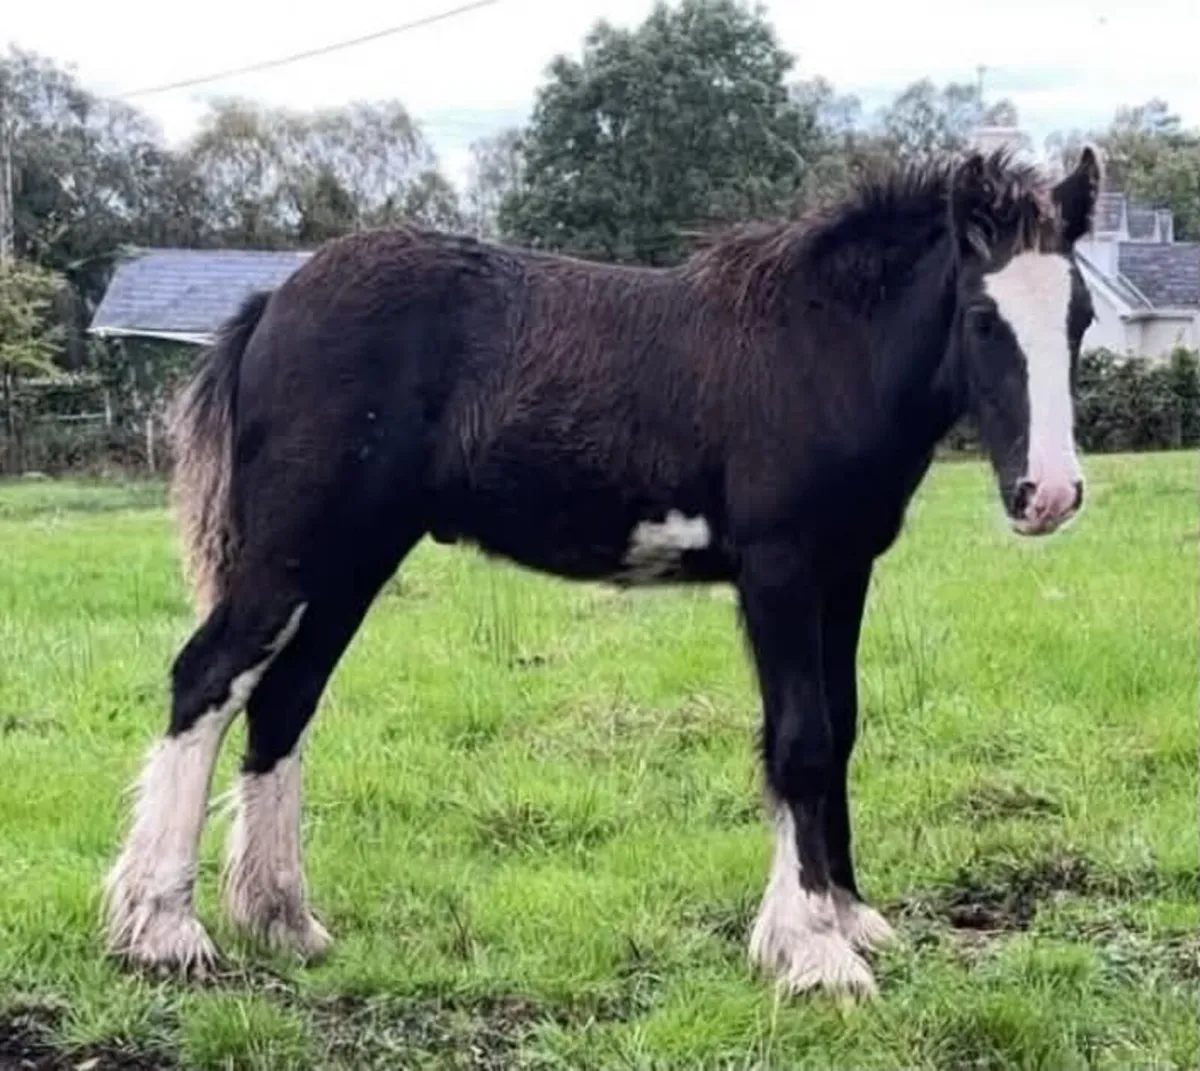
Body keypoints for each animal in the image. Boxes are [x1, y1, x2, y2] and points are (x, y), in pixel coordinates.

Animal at [102, 145, 1102, 998]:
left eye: (1080, 317)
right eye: (983, 317)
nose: (1048, 494)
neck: (820, 346)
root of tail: (271, 302)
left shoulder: (844, 570)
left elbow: (843, 728)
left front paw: (849, 916)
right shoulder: (778, 567)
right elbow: (802, 740)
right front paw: (812, 953)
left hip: (356, 557)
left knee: (284, 700)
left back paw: (280, 919)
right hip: (295, 549)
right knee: (208, 677)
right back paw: (163, 930)